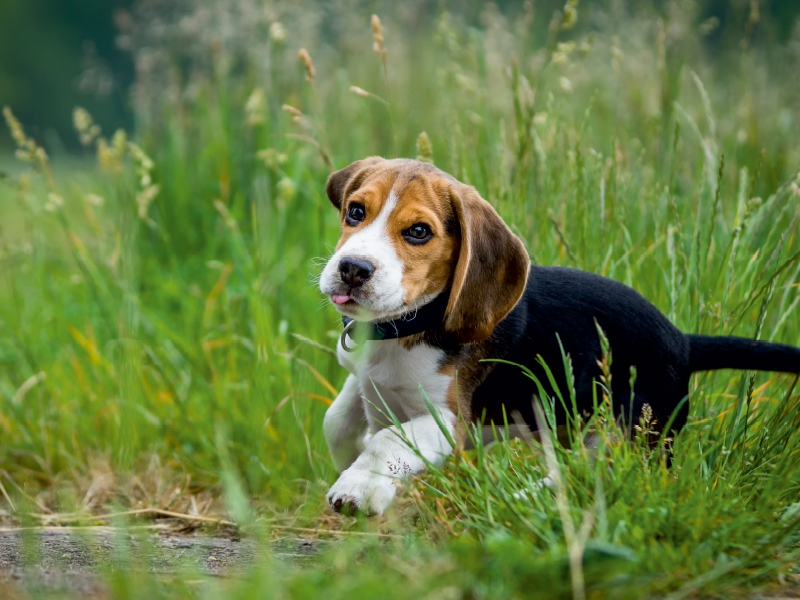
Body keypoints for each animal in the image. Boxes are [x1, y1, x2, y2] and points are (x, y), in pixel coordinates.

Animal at [318, 156, 800, 516]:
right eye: (356, 211)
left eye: (419, 232)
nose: (353, 269)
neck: (410, 323)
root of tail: (683, 341)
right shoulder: (368, 383)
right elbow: (338, 420)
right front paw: (359, 467)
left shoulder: (449, 422)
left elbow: (387, 440)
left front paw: (358, 486)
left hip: (630, 437)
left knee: (593, 476)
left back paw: (524, 502)